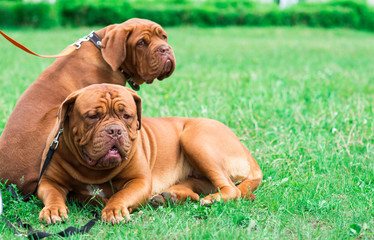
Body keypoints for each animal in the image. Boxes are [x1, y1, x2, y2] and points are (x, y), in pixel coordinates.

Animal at [36, 83, 262, 224]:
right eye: (93, 116)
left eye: (126, 116)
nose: (115, 130)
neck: (93, 170)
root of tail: (246, 151)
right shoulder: (48, 181)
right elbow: (54, 194)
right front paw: (53, 210)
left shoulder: (140, 182)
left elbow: (120, 194)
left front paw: (114, 209)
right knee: (196, 189)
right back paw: (169, 197)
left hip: (195, 138)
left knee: (231, 189)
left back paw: (210, 199)